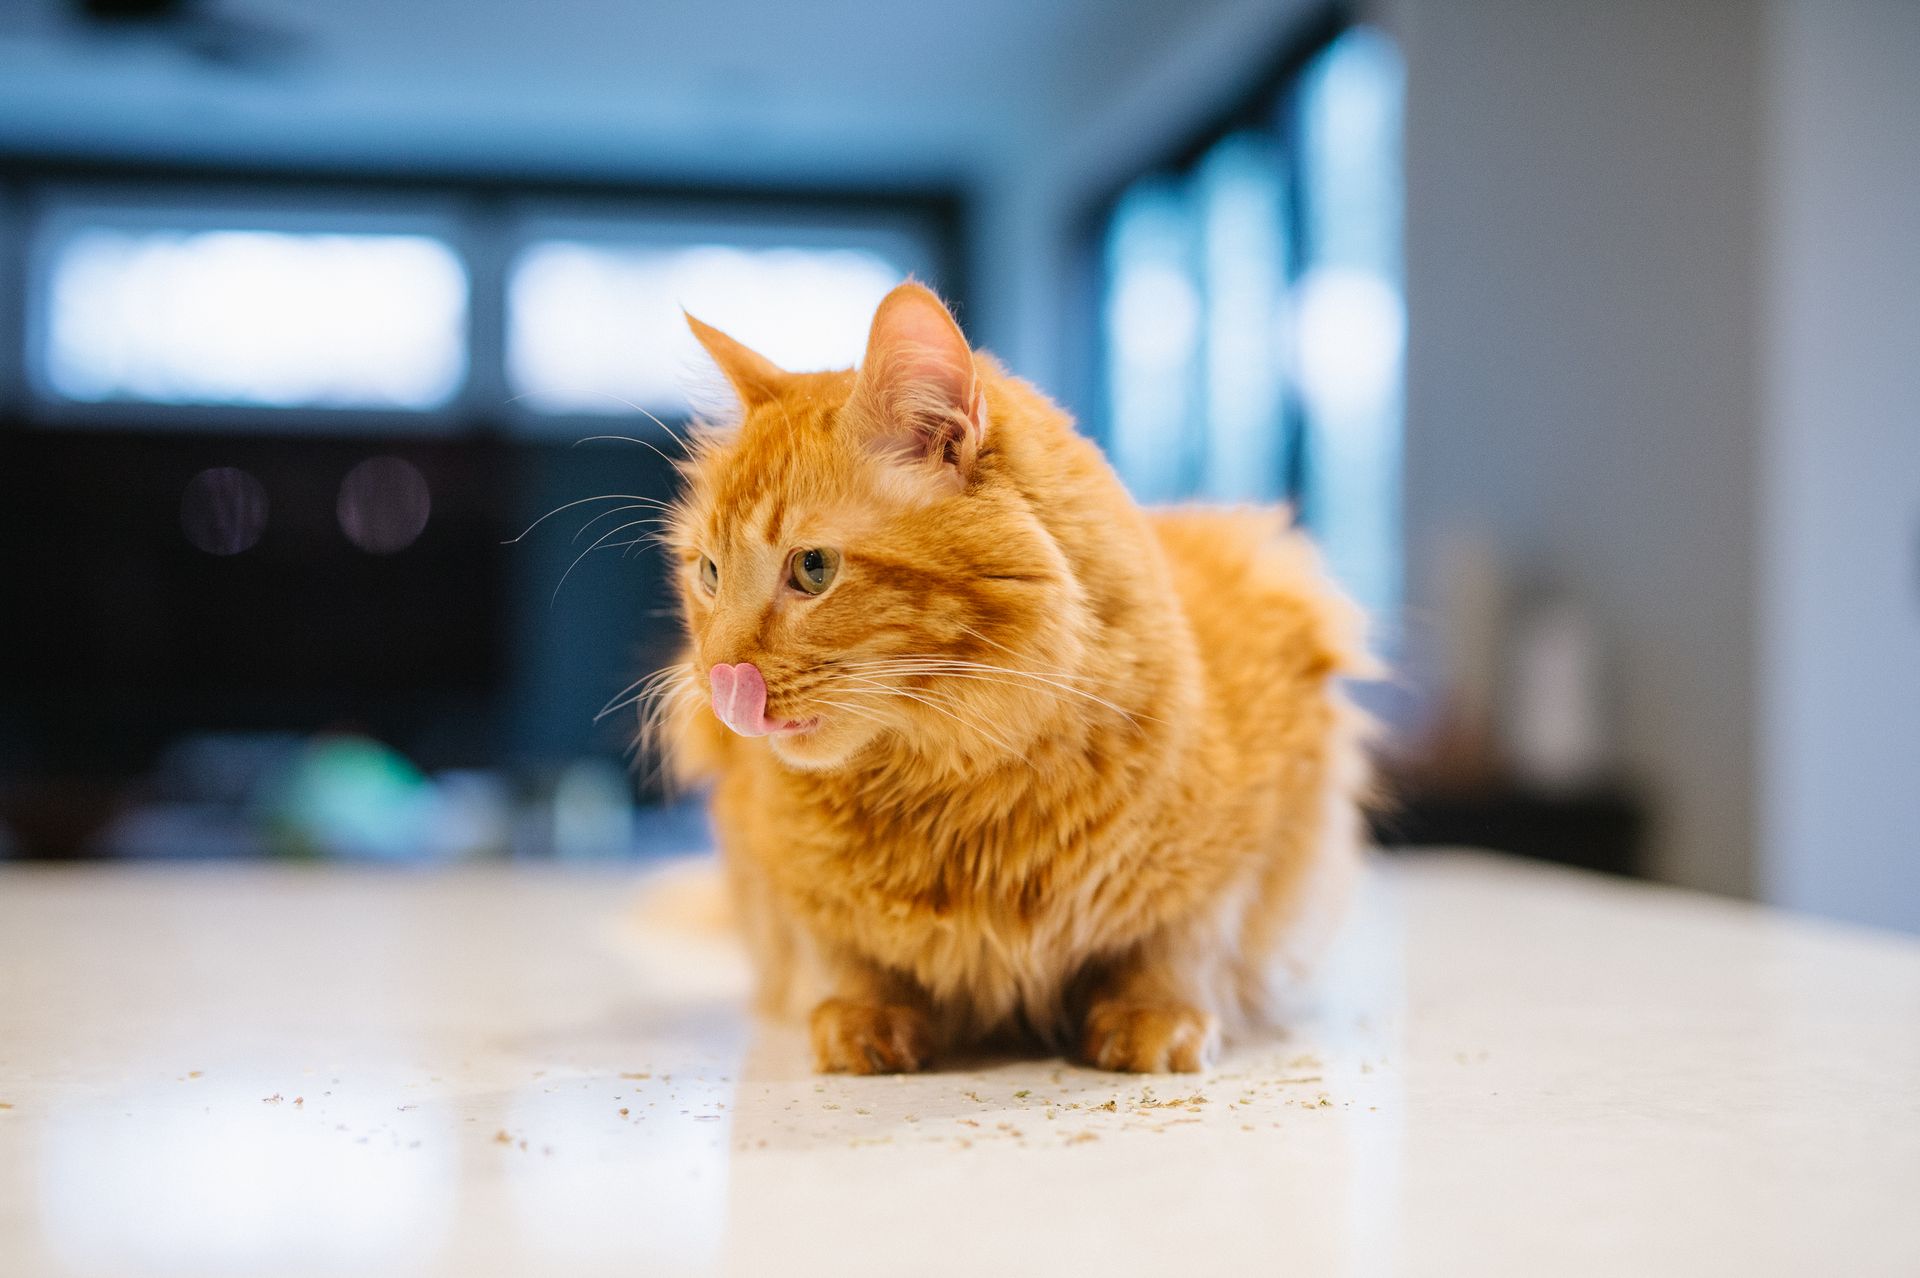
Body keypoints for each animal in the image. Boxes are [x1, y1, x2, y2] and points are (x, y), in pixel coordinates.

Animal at [652, 284, 1374, 1066]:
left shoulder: (1265, 826)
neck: (961, 796)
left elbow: (1180, 943)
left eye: (813, 568)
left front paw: (1154, 1018)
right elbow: (843, 953)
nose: (719, 675)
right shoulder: (778, 876)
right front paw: (863, 1018)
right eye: (709, 573)